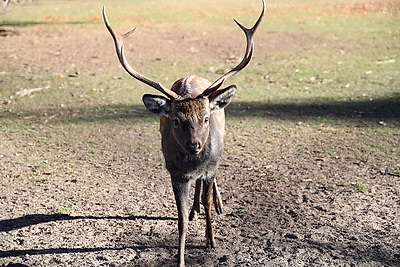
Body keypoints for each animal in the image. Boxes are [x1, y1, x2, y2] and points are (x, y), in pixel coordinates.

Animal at [103, 1, 266, 266]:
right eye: (177, 121)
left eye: (206, 118)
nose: (194, 145)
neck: (193, 164)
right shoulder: (175, 174)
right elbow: (180, 221)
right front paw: (180, 258)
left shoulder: (210, 167)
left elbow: (208, 200)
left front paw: (210, 240)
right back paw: (194, 210)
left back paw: (216, 205)